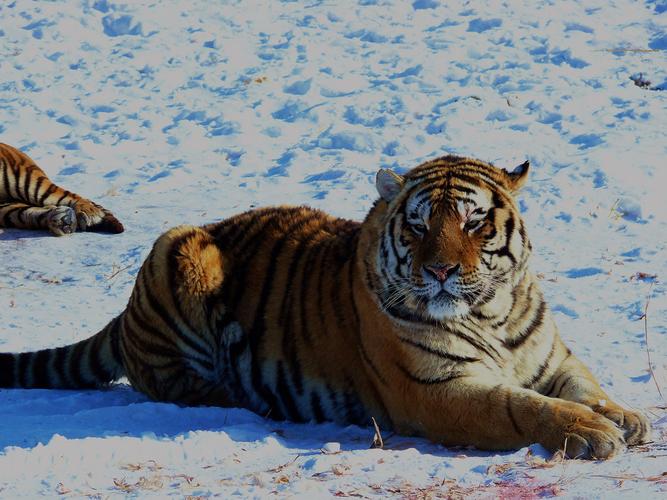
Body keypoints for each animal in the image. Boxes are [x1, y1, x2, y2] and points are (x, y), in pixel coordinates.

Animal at [0, 155, 650, 459]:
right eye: (419, 226)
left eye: (472, 220)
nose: (440, 271)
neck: (493, 311)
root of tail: (125, 312)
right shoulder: (438, 391)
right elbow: (522, 409)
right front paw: (591, 432)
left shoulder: (552, 361)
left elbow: (585, 388)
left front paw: (625, 416)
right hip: (178, 248)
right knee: (167, 380)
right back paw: (231, 394)